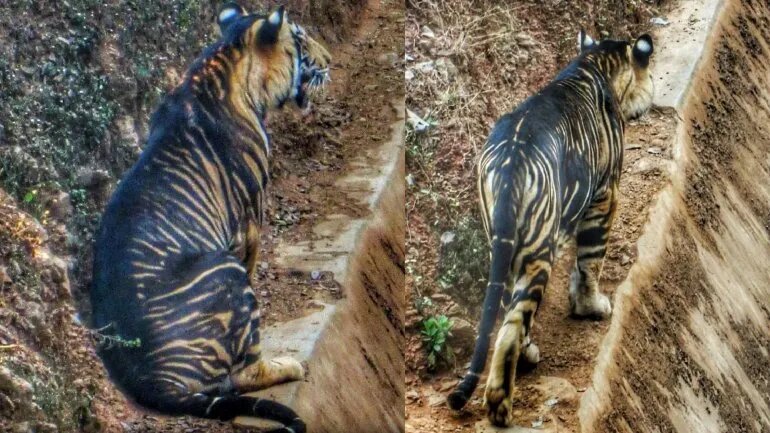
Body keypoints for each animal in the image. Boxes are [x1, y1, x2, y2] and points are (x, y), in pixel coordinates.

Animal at [90, 3, 330, 433]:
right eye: (302, 40)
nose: (331, 60)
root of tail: (153, 381)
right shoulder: (250, 220)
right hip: (226, 272)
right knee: (245, 372)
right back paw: (290, 365)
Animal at [447, 30, 654, 426]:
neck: (594, 61)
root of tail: (510, 161)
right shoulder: (605, 194)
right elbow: (591, 259)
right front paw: (591, 306)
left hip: (506, 244)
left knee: (511, 310)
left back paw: (526, 357)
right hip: (538, 250)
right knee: (512, 324)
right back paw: (500, 405)